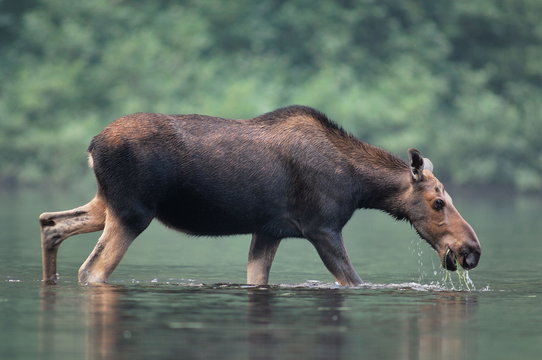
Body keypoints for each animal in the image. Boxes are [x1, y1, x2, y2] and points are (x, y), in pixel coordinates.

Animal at [39, 105, 484, 286]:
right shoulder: (322, 227)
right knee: (91, 270)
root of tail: (92, 146)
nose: (471, 250)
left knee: (50, 222)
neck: (359, 187)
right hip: (133, 212)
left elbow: (257, 278)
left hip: (108, 204)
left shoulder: (269, 230)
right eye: (438, 202)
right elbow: (354, 281)